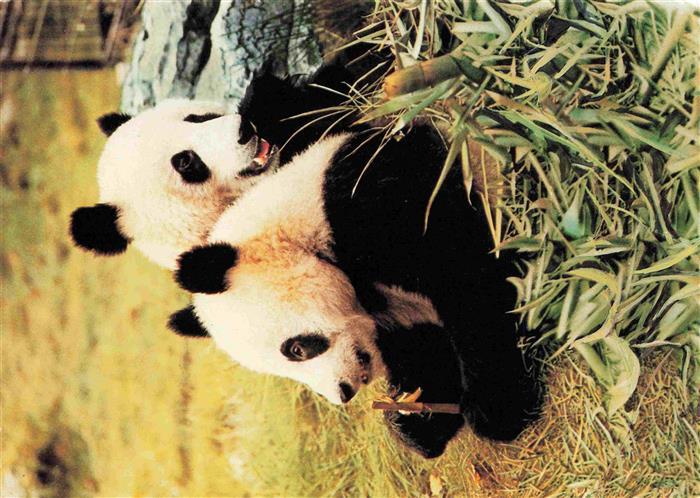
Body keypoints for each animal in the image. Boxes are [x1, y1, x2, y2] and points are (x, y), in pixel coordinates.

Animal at [168, 125, 542, 458]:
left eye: (296, 349)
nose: (343, 392)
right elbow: (424, 349)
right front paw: (417, 421)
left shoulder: (371, 200)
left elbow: (462, 277)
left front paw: (495, 408)